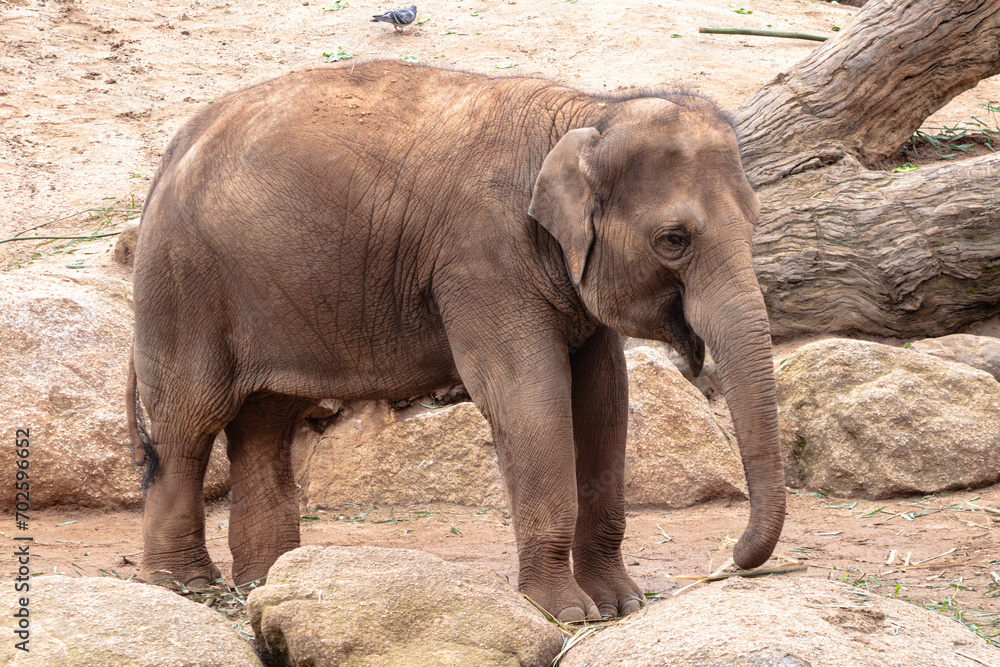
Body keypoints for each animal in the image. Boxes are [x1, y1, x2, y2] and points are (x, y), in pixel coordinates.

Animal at [126, 60, 785, 623]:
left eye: (756, 220)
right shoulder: (483, 258)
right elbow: (529, 395)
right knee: (190, 422)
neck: (590, 111)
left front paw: (620, 606)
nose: (730, 559)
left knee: (265, 421)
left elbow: (604, 399)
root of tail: (172, 151)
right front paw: (565, 613)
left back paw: (267, 581)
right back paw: (186, 585)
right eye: (673, 239)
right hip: (182, 284)